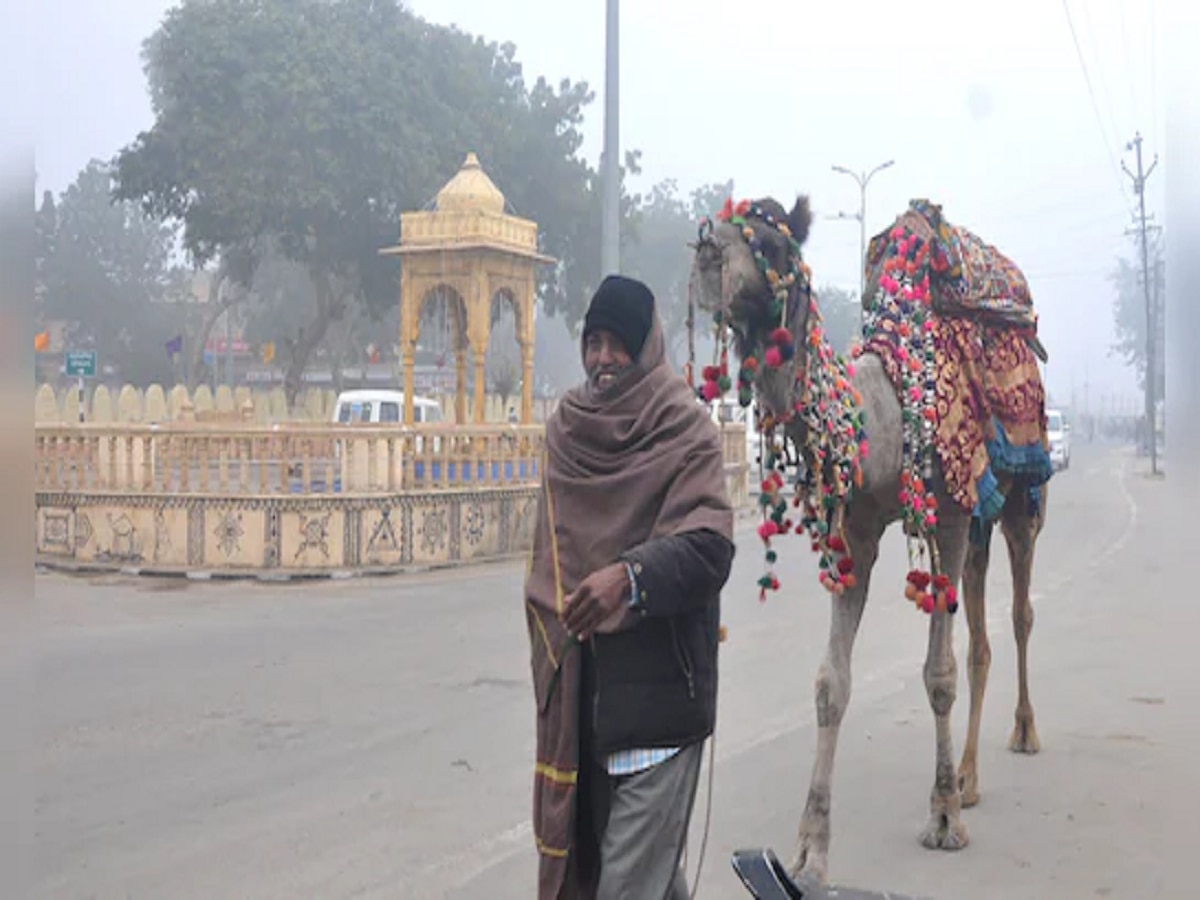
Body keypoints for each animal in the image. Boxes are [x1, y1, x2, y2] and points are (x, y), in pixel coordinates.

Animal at [686, 195, 1051, 888]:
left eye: (772, 244)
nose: (705, 251)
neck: (883, 414)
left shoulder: (949, 516)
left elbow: (938, 673)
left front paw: (942, 820)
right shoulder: (856, 529)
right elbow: (832, 683)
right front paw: (809, 851)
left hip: (1020, 491)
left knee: (1019, 612)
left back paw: (1021, 736)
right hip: (981, 516)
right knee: (981, 630)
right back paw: (969, 777)